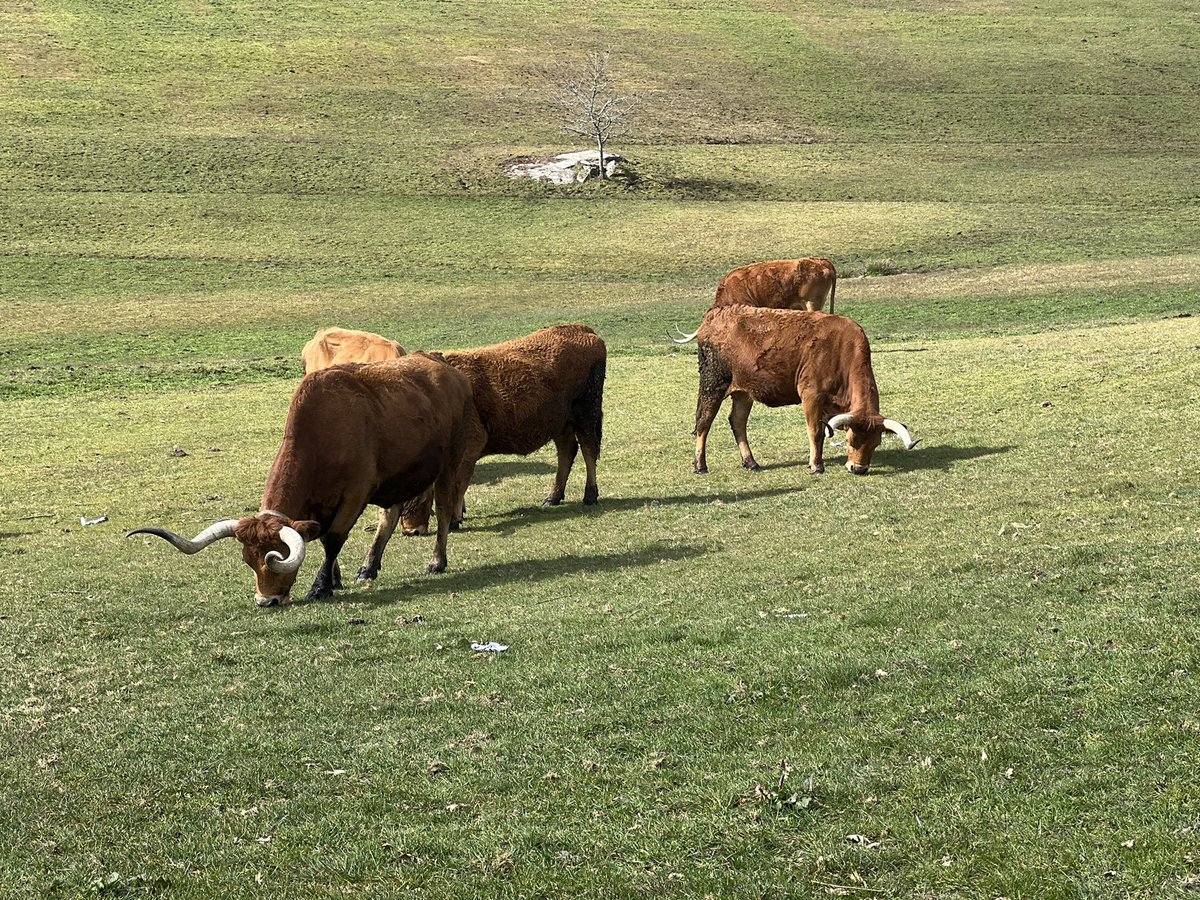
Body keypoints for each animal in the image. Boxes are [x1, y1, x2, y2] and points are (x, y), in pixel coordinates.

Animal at [127, 355, 473, 607]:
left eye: (274, 561)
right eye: (248, 561)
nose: (266, 601)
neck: (323, 434)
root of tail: (446, 367)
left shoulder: (354, 495)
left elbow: (333, 539)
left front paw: (320, 587)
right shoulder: (317, 506)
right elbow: (320, 538)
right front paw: (335, 579)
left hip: (449, 464)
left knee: (444, 510)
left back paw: (436, 562)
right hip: (399, 476)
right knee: (389, 516)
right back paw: (369, 567)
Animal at [355, 324, 607, 579]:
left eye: (418, 494)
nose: (411, 530)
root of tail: (581, 329)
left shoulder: (468, 450)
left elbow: (458, 487)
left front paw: (455, 519)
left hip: (587, 412)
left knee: (588, 450)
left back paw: (590, 494)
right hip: (560, 424)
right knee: (567, 452)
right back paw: (553, 497)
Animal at [685, 307, 918, 476]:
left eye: (875, 444)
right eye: (851, 440)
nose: (858, 469)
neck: (842, 349)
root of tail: (715, 314)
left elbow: (822, 432)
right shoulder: (811, 395)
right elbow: (815, 431)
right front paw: (817, 466)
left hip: (744, 392)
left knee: (738, 422)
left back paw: (751, 462)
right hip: (713, 384)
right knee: (703, 422)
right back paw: (700, 465)